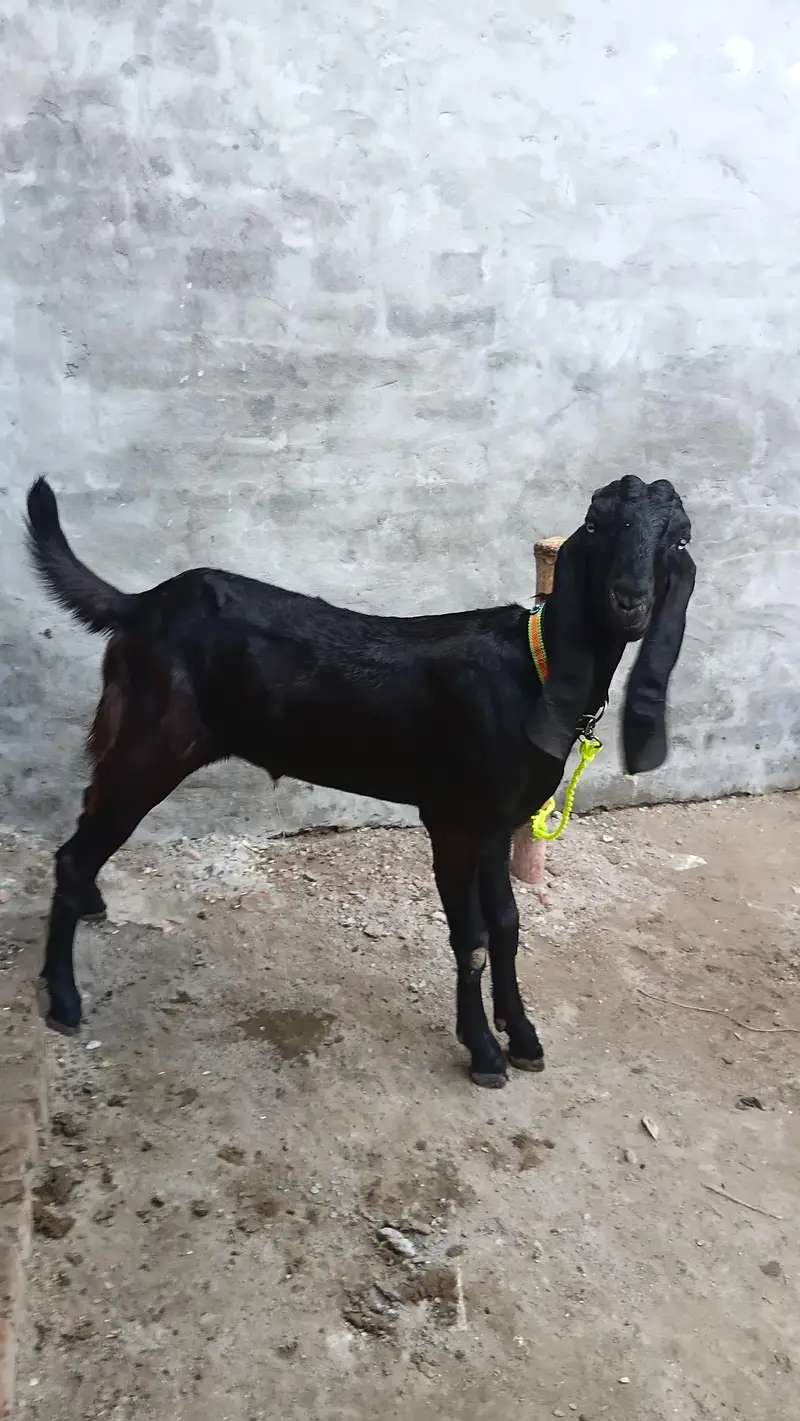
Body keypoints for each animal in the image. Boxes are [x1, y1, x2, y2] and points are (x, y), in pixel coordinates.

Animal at [25, 474, 695, 1087]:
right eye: (595, 526)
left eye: (678, 537)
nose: (629, 601)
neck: (534, 670)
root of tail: (142, 603)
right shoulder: (453, 820)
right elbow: (472, 936)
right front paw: (483, 1051)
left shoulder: (496, 821)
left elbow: (506, 926)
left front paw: (523, 1036)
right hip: (154, 744)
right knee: (74, 850)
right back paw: (62, 998)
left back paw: (89, 906)